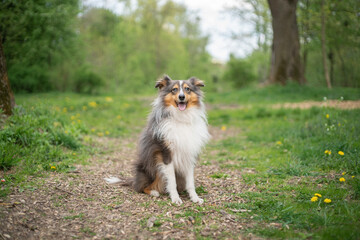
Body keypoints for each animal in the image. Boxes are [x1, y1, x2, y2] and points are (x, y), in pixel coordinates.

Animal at [105, 75, 210, 204]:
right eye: (174, 89)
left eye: (188, 89)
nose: (181, 97)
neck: (181, 119)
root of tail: (134, 179)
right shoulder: (165, 154)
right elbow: (172, 181)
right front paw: (175, 198)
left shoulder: (189, 154)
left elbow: (190, 182)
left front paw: (195, 197)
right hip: (151, 169)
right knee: (141, 187)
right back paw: (154, 192)